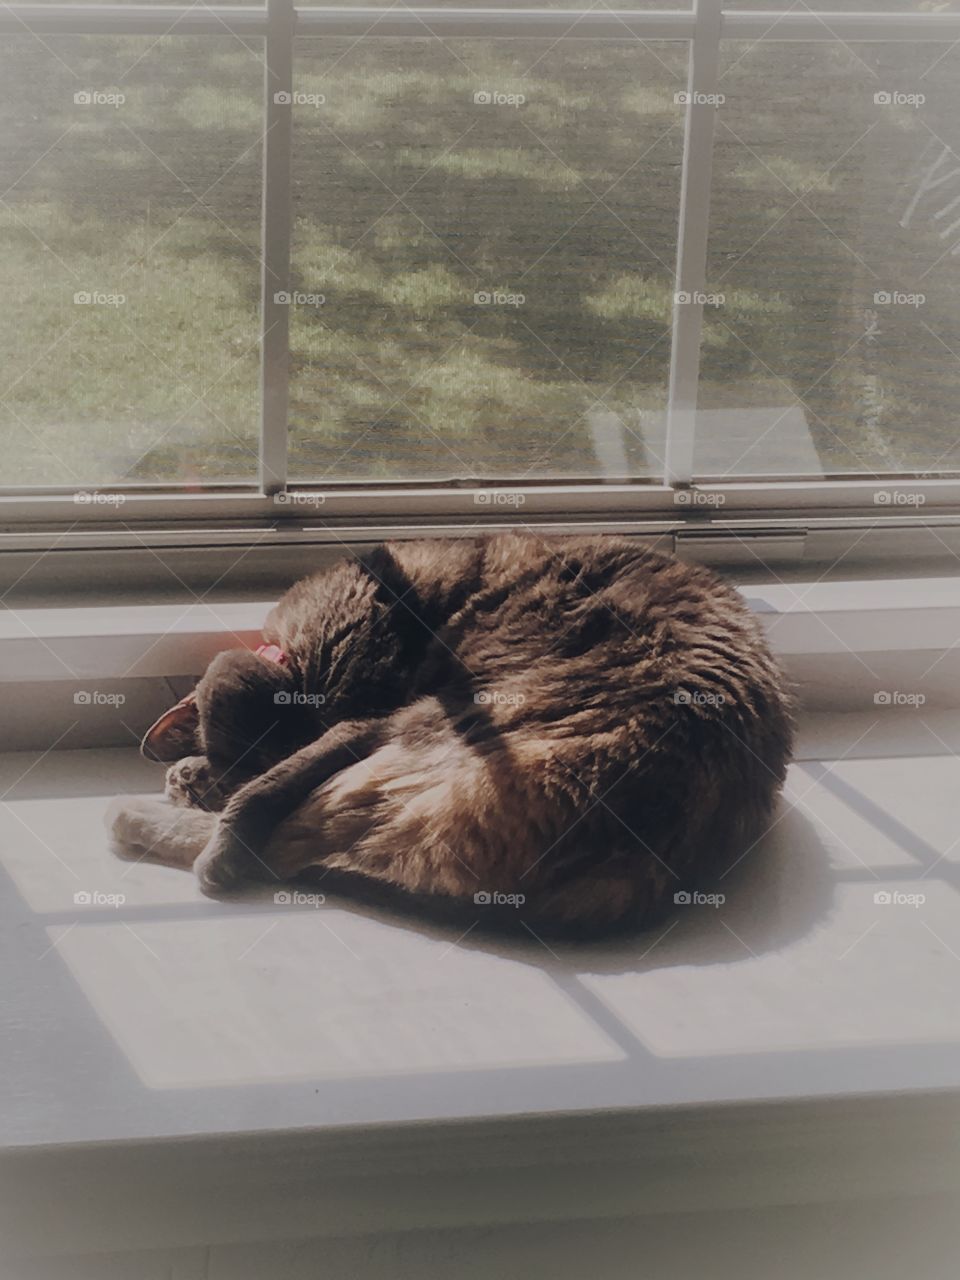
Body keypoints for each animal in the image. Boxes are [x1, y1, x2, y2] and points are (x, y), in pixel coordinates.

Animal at [106, 532, 798, 942]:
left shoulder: (355, 721)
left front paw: (197, 786)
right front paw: (191, 776)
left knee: (280, 849)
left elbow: (261, 790)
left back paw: (145, 824)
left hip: (421, 726)